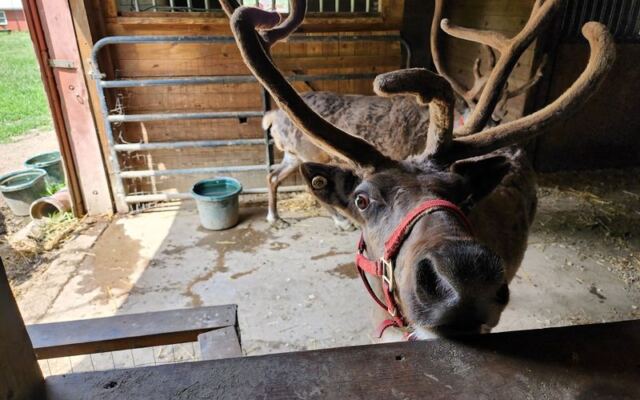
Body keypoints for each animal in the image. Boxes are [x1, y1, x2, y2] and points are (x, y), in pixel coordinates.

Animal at [259, 1, 545, 230]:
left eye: (499, 118)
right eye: (491, 121)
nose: (517, 152)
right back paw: (340, 221)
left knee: (273, 176)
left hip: (294, 154)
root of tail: (272, 116)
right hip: (311, 153)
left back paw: (275, 217)